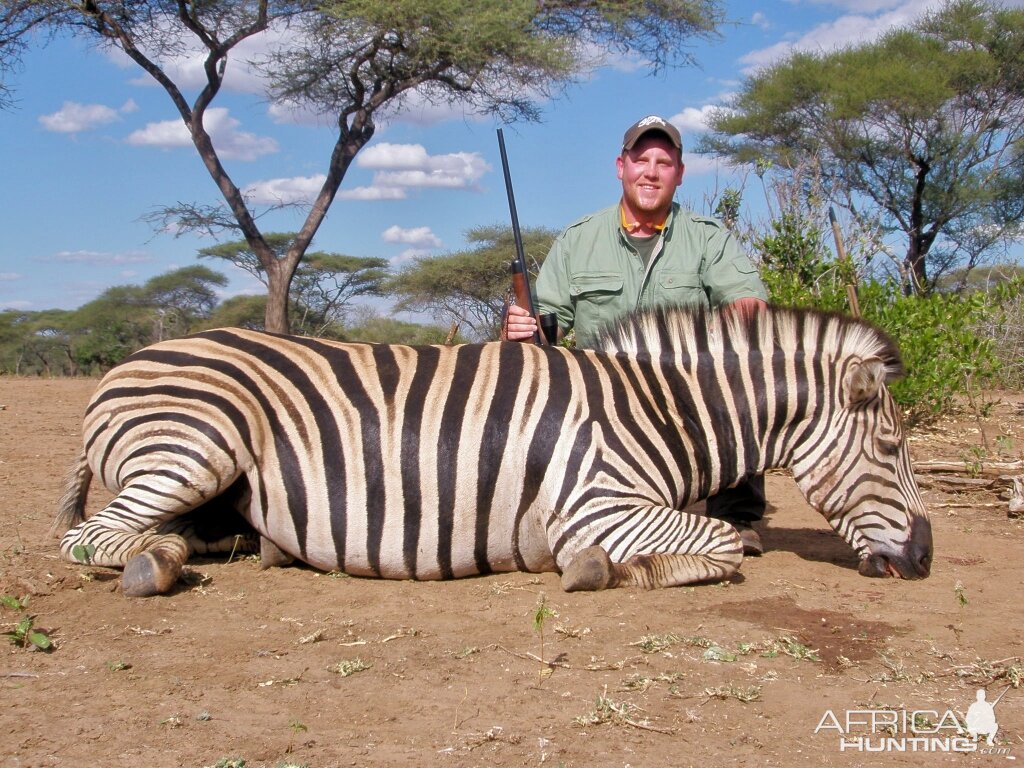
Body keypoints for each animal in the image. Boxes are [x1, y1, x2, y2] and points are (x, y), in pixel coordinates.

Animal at [56, 303, 937, 598]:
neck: (659, 408)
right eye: (893, 445)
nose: (926, 558)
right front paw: (599, 570)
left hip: (217, 485)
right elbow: (719, 544)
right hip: (198, 442)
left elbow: (720, 539)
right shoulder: (598, 503)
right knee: (91, 539)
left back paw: (247, 549)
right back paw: (158, 566)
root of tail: (128, 362)